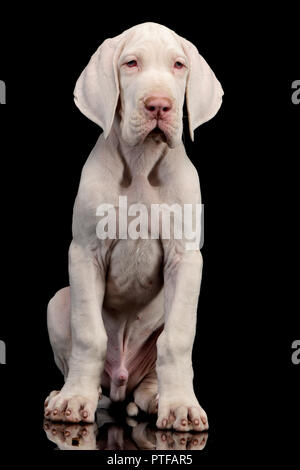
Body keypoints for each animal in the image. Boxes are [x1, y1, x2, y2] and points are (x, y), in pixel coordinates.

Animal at [44, 23, 223, 434]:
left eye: (178, 65)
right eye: (131, 63)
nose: (159, 105)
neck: (141, 163)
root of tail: (120, 383)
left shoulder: (185, 259)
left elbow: (176, 340)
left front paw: (181, 406)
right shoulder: (85, 253)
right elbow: (88, 335)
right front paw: (74, 398)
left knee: (150, 372)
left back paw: (157, 398)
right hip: (57, 302)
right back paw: (72, 392)